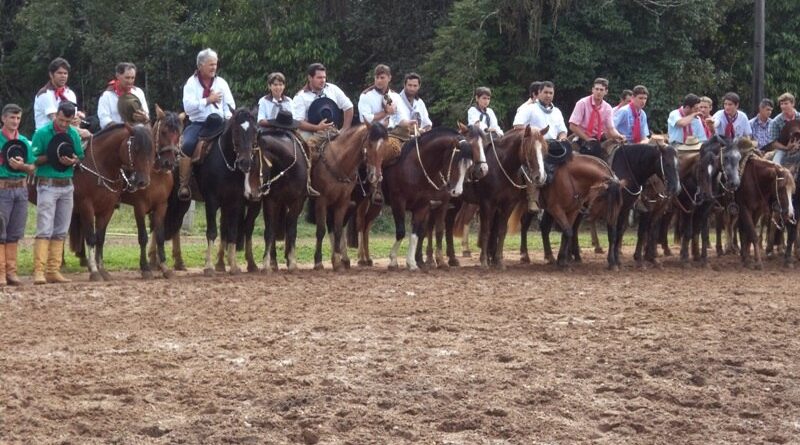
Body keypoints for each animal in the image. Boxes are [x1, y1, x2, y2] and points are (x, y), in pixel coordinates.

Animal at [68, 123, 155, 280]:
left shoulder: (107, 209)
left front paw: (102, 270)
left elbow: (100, 238)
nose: (143, 181)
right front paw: (95, 272)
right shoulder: (85, 206)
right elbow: (91, 238)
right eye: (135, 149)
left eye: (151, 150)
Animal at [304, 121, 390, 270]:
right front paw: (318, 261)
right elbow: (321, 230)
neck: (339, 163)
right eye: (369, 143)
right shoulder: (321, 201)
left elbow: (338, 229)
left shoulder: (342, 202)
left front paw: (337, 261)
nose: (376, 176)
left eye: (384, 145)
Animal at [382, 126, 476, 268]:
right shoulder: (398, 202)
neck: (414, 167)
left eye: (469, 165)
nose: (457, 191)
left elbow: (416, 233)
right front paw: (393, 260)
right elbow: (401, 231)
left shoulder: (423, 205)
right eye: (455, 162)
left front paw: (412, 262)